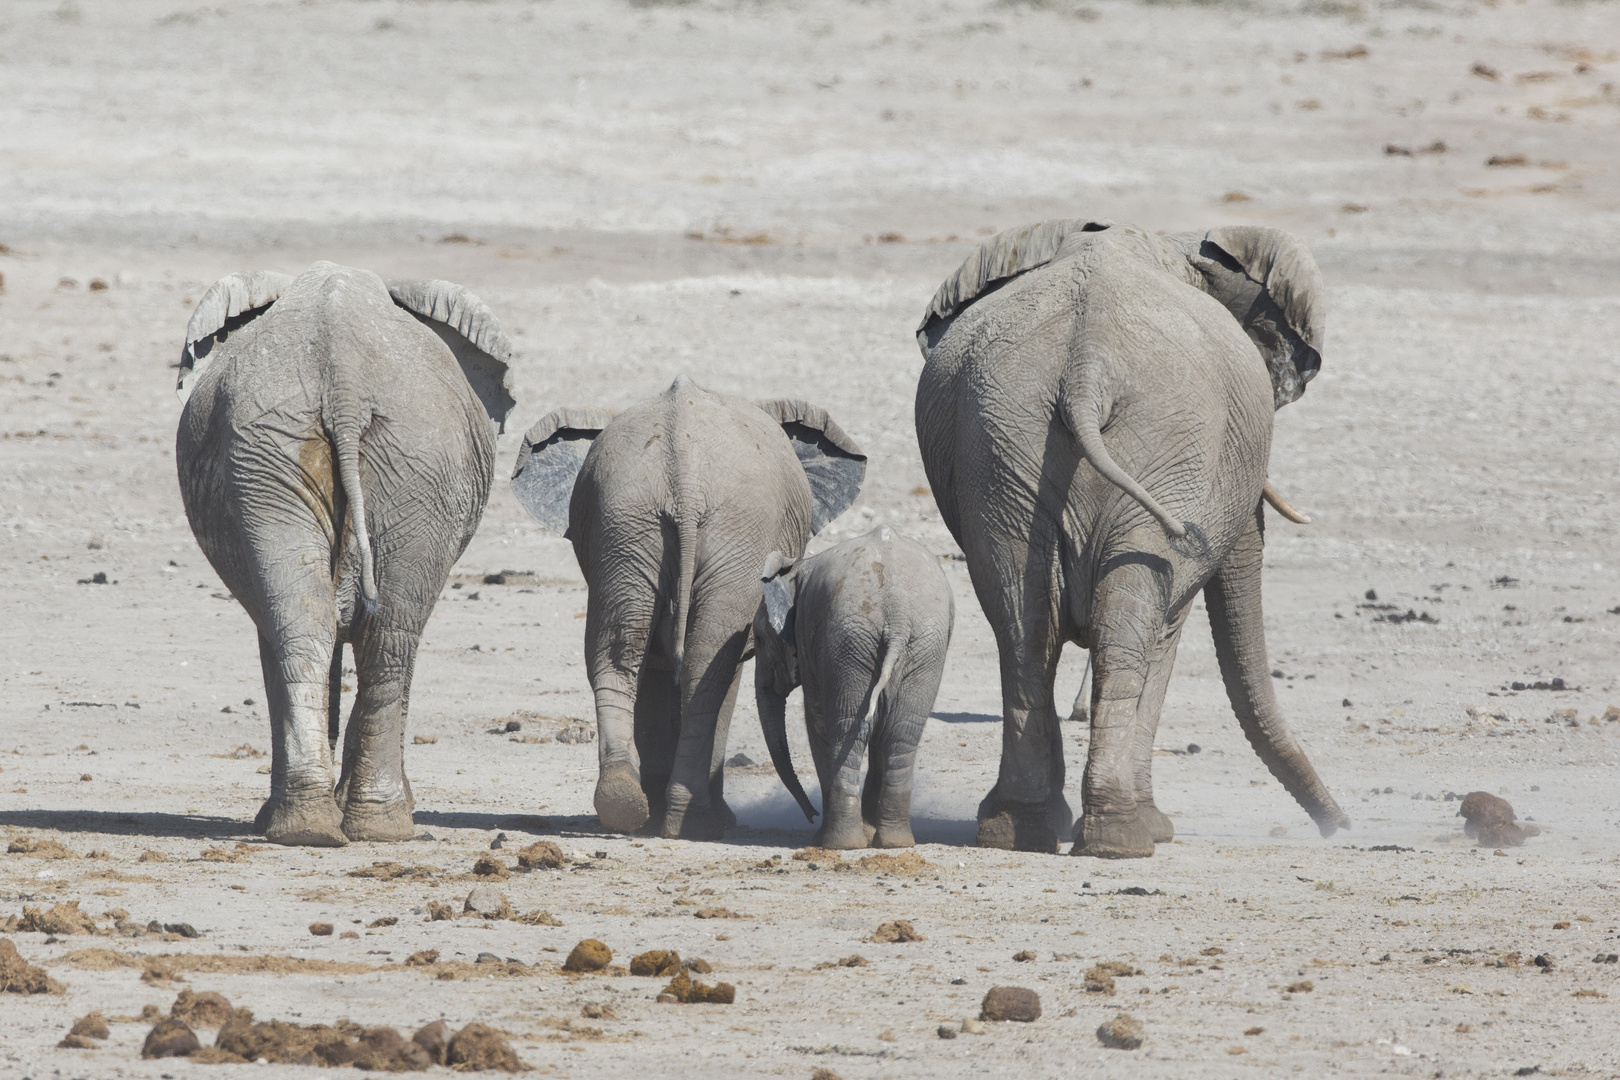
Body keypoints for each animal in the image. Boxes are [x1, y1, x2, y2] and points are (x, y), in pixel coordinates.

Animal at [174, 259, 511, 841]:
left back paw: (324, 827)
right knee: (374, 635)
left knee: (326, 625)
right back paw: (366, 826)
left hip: (339, 454)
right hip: (332, 453)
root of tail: (344, 383)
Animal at [511, 375, 868, 841]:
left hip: (625, 525)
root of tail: (683, 474)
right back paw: (698, 821)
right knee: (706, 670)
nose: (810, 816)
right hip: (734, 535)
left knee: (618, 655)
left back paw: (623, 804)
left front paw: (649, 812)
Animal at [751, 527, 952, 848]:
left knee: (844, 728)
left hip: (849, 638)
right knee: (900, 734)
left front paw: (822, 836)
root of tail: (897, 616)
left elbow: (817, 721)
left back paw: (840, 844)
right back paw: (894, 842)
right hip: (922, 644)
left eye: (758, 639)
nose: (812, 814)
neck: (796, 568)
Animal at [913, 221, 1354, 861]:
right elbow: (1166, 635)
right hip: (1168, 442)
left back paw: (1018, 831)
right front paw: (1157, 827)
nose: (1338, 825)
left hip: (1001, 442)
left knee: (1024, 627)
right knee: (1130, 628)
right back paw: (1123, 837)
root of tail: (1086, 369)